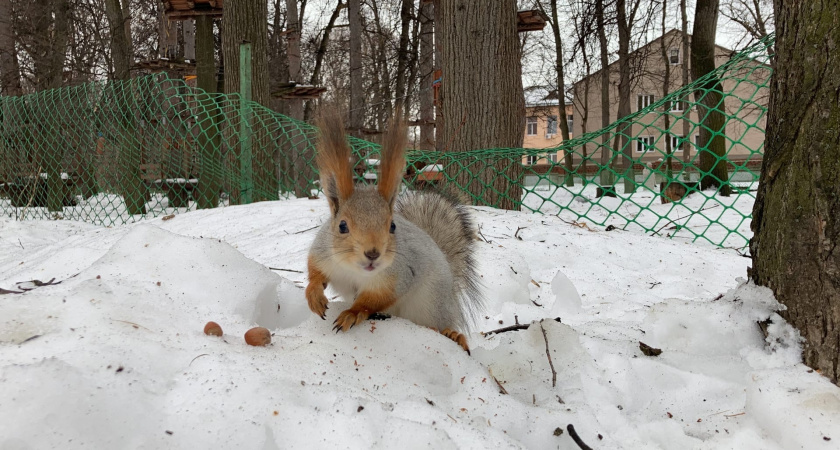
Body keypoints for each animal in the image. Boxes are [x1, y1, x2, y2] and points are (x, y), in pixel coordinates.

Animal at [306, 110, 482, 354]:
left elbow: (372, 301)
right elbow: (315, 273)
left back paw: (453, 335)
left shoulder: (400, 275)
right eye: (342, 226)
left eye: (392, 226)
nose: (373, 254)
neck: (355, 271)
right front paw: (314, 295)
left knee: (441, 323)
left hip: (433, 306)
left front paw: (352, 313)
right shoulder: (322, 254)